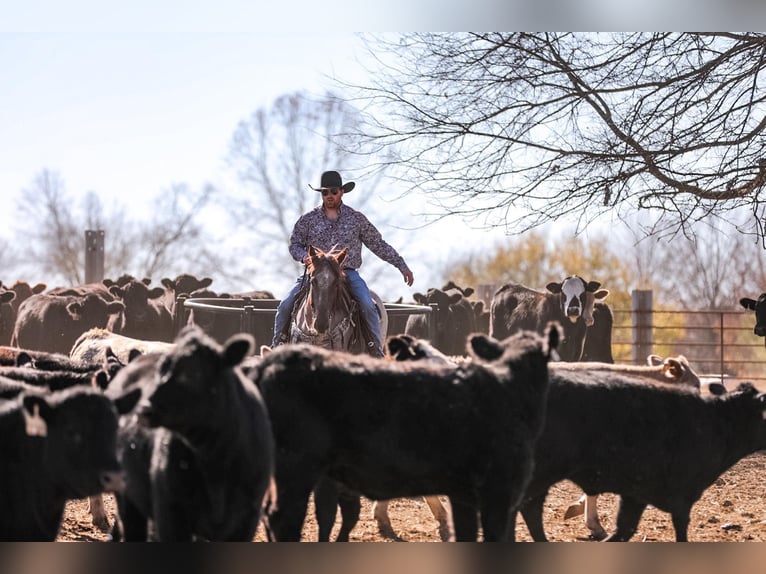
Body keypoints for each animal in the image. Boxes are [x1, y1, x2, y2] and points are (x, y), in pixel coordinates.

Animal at [106, 326, 276, 544]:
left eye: (191, 374)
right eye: (161, 370)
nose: (144, 408)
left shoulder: (247, 520)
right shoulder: (170, 513)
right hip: (129, 500)